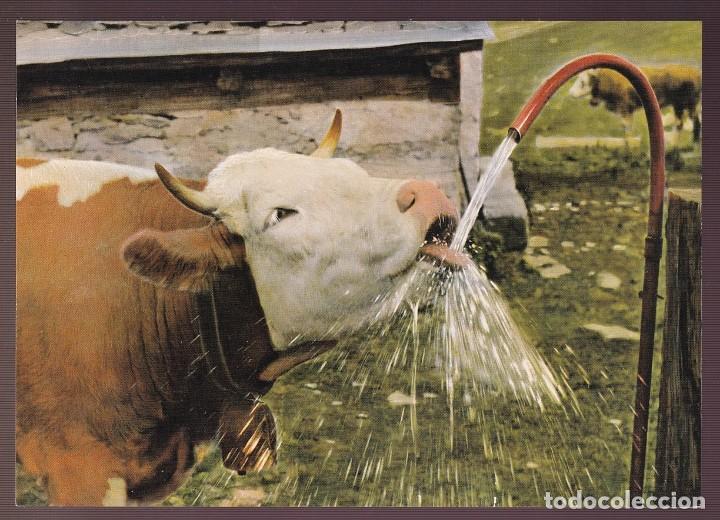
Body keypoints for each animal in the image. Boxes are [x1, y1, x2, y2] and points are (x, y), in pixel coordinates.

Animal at [568, 65, 702, 144]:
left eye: (582, 82)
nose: (570, 92)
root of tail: (694, 71)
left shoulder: (625, 108)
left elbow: (626, 125)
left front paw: (629, 141)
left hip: (689, 104)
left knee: (692, 122)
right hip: (679, 106)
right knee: (681, 123)